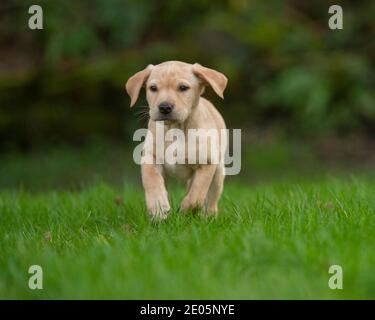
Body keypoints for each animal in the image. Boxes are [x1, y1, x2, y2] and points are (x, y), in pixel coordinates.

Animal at [126, 60, 228, 220]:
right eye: (153, 88)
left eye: (183, 88)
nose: (164, 107)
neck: (175, 129)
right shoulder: (149, 156)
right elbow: (151, 179)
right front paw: (158, 207)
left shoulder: (207, 163)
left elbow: (196, 194)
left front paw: (185, 211)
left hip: (218, 173)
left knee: (210, 200)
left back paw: (207, 217)